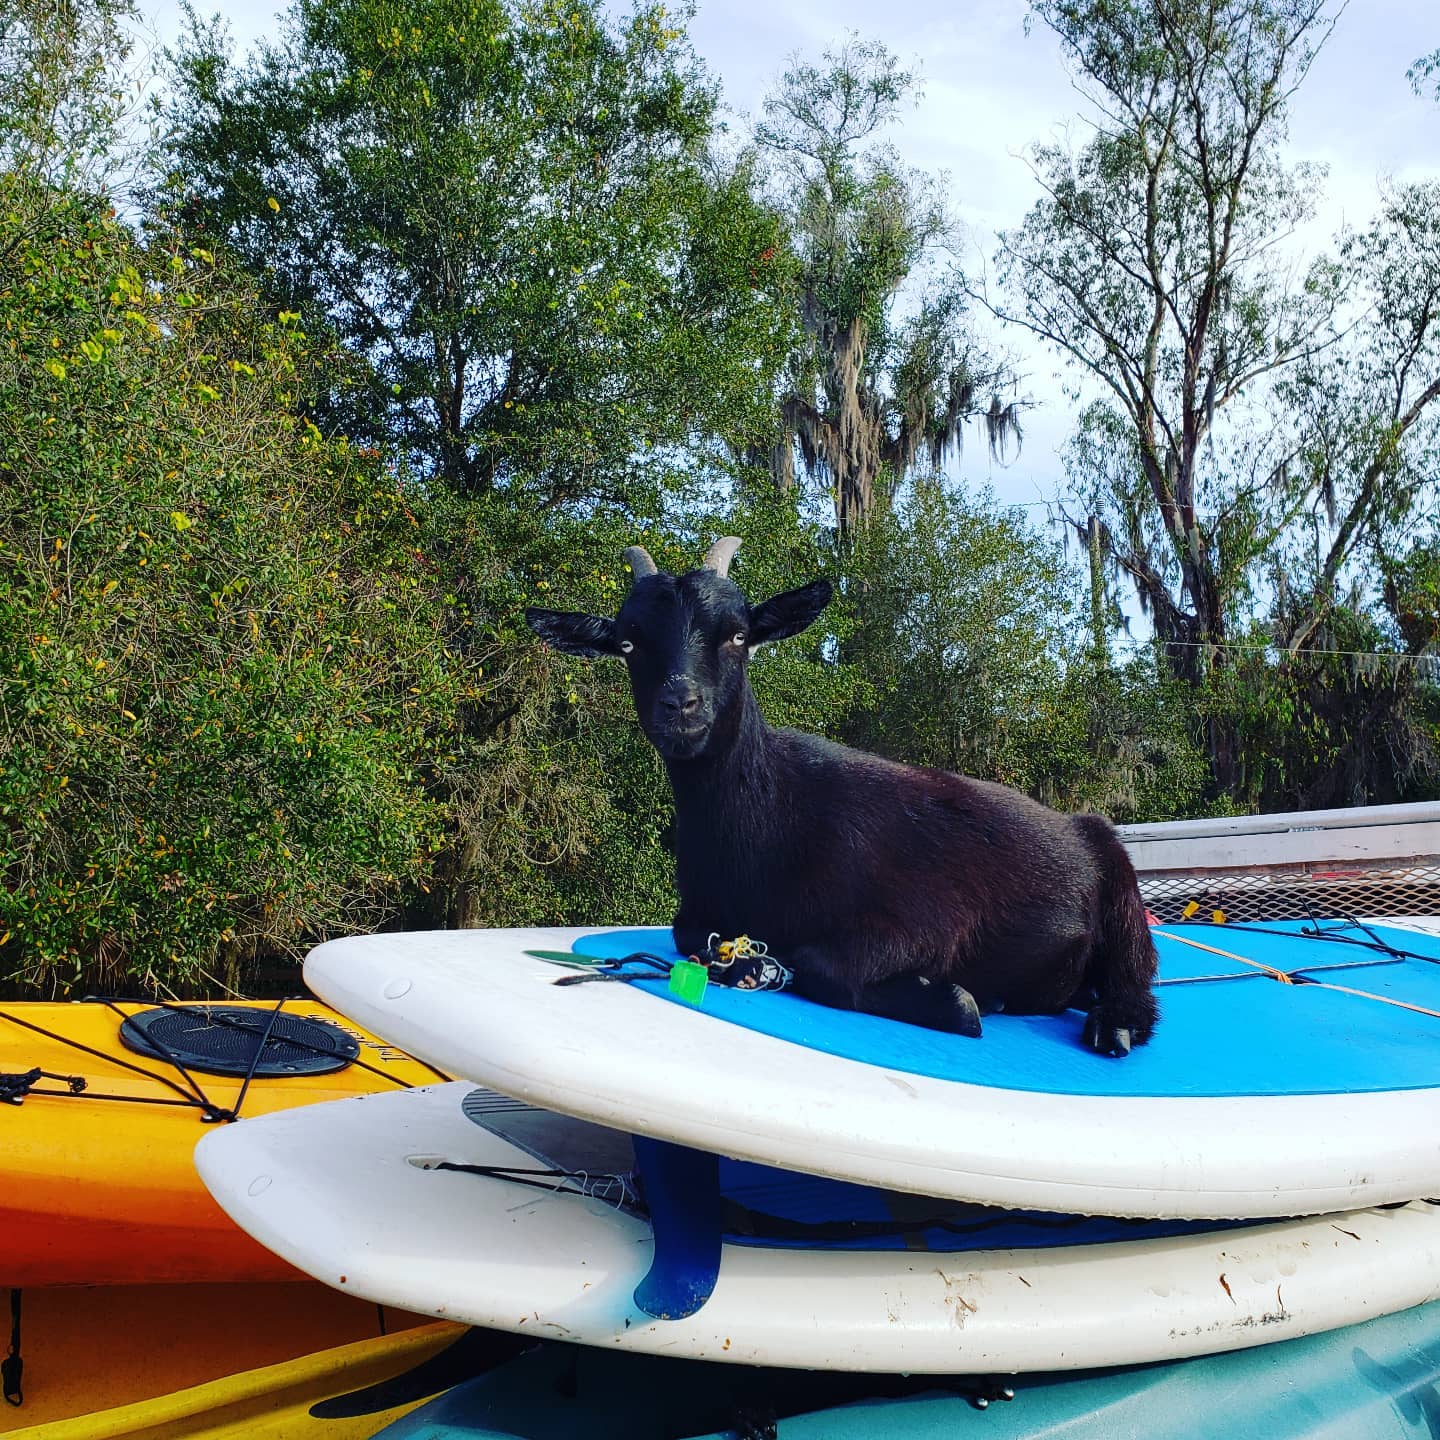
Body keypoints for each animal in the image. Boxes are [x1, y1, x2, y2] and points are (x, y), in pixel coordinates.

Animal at [529, 541, 1157, 1059]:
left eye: (738, 635)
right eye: (628, 641)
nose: (679, 704)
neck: (771, 817)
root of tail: (1077, 826)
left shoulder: (921, 920)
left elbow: (822, 965)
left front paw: (958, 1000)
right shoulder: (701, 914)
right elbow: (692, 936)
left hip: (1122, 889)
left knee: (1138, 972)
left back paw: (1113, 1025)